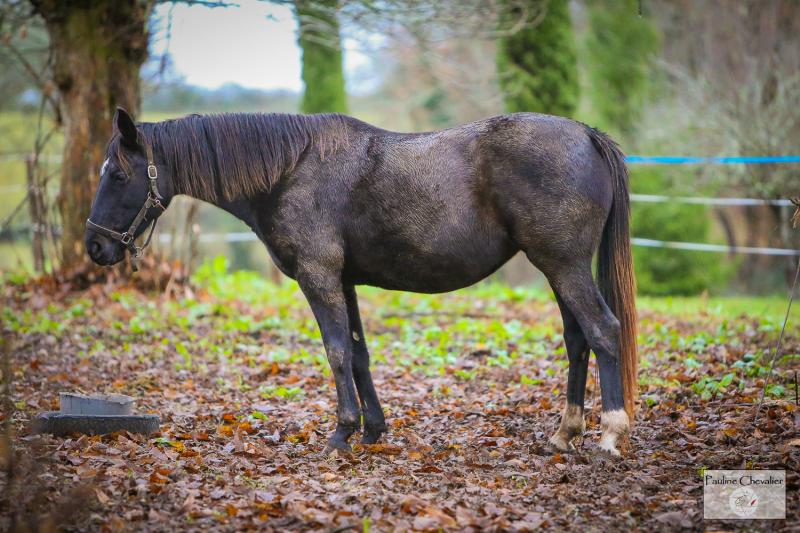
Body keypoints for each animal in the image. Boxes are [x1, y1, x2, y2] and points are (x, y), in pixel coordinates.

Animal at [86, 107, 637, 456]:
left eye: (118, 175)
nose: (95, 247)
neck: (291, 170)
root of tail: (586, 135)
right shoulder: (344, 281)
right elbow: (358, 352)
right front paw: (372, 430)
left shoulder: (319, 276)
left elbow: (335, 351)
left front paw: (341, 433)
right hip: (558, 269)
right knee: (577, 340)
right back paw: (565, 434)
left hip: (563, 266)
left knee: (604, 332)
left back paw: (610, 435)